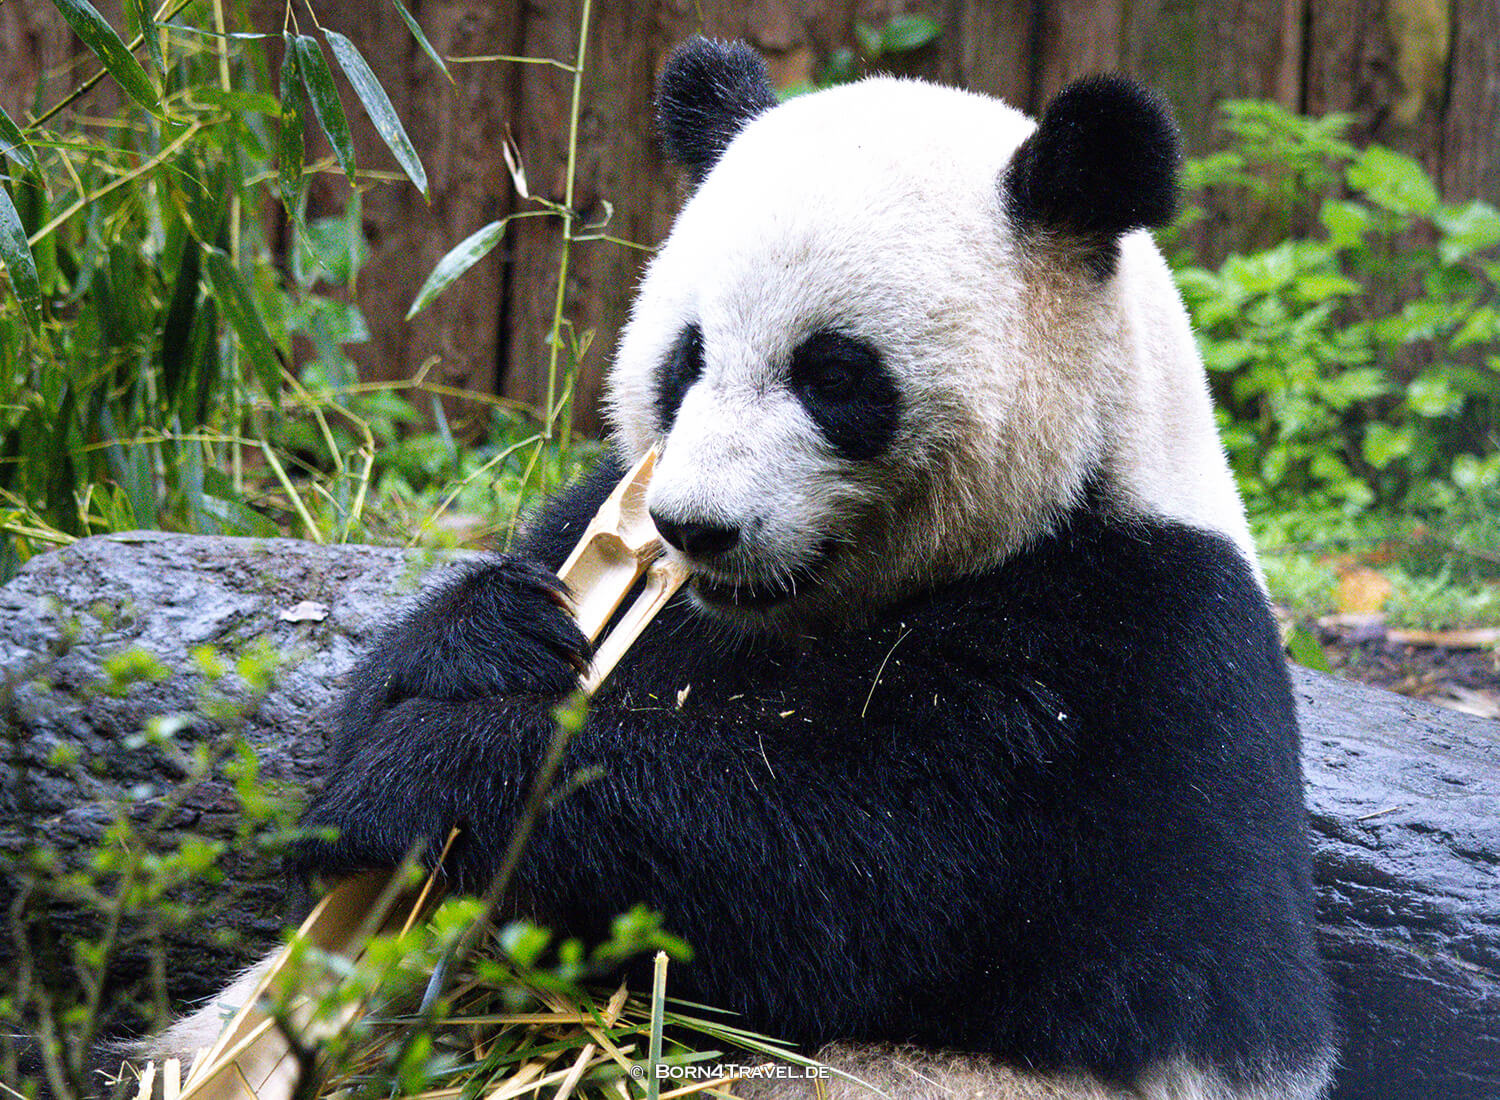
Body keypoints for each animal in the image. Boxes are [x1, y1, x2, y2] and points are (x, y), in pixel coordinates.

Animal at [156, 37, 1337, 1100]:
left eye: (835, 375)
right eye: (687, 358)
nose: (697, 528)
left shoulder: (1126, 660)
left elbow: (854, 871)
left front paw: (443, 772)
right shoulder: (618, 509)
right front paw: (484, 640)